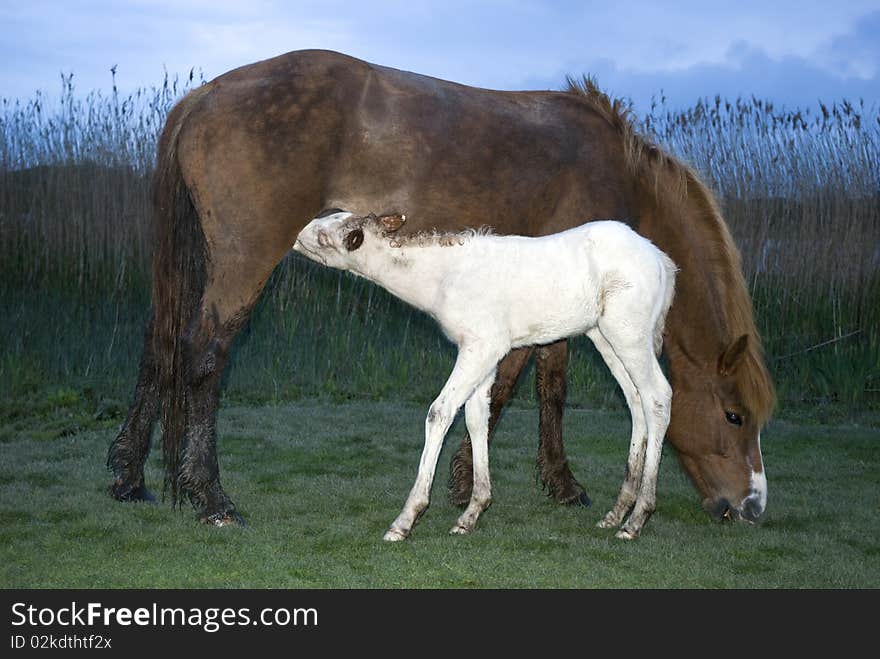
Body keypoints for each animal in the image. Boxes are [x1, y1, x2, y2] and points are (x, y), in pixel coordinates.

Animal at [292, 213, 676, 540]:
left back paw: (636, 520)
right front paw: (472, 513)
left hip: (629, 331)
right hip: (604, 335)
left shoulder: (483, 344)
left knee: (658, 395)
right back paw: (616, 513)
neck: (439, 283)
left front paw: (405, 520)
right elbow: (478, 418)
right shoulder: (483, 352)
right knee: (635, 399)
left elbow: (440, 411)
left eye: (325, 237)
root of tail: (664, 263)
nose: (296, 235)